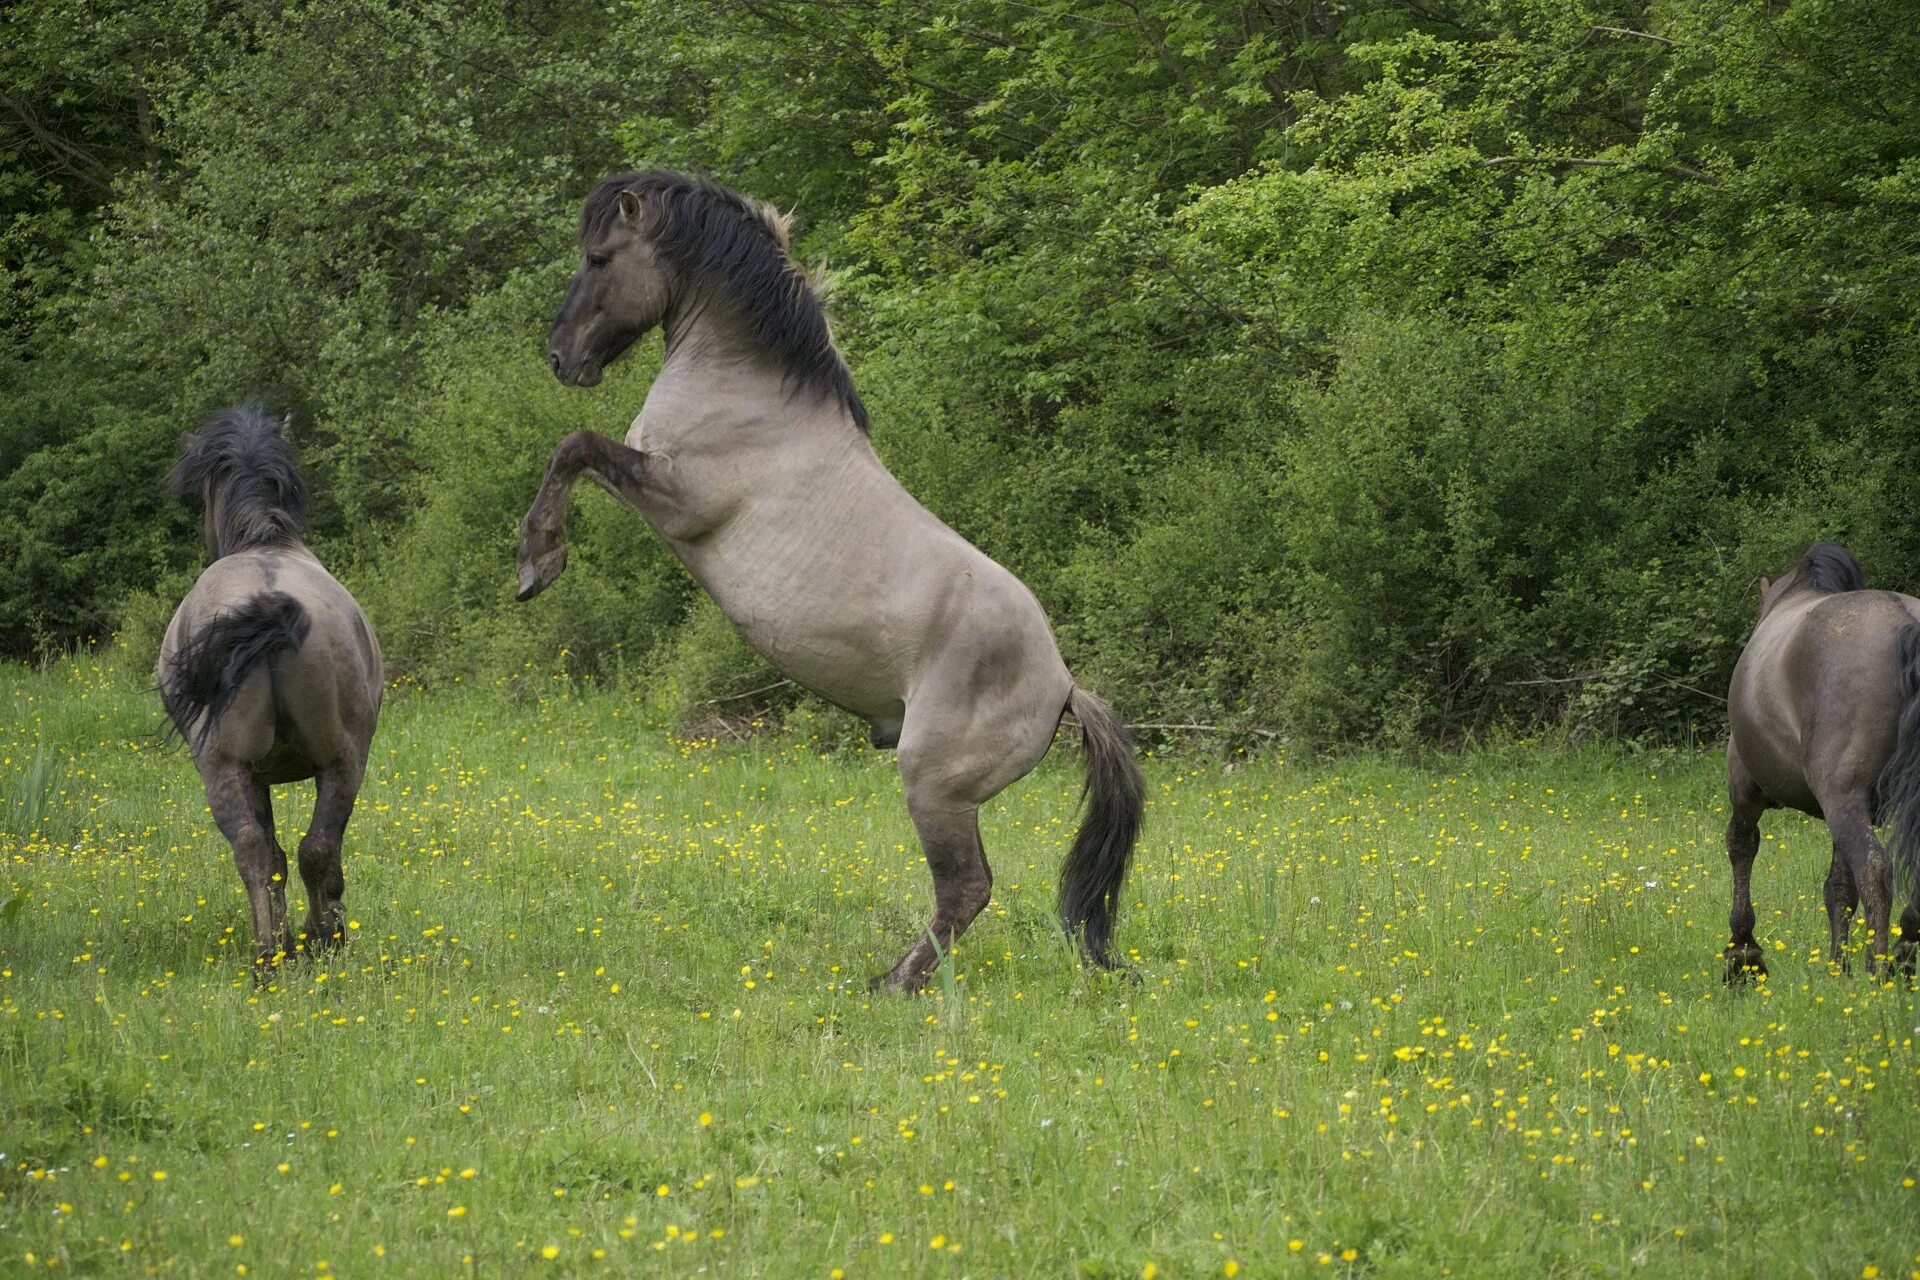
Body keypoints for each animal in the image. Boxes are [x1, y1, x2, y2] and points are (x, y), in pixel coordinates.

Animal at [161, 408, 382, 971]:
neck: (264, 541)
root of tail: (268, 602)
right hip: (337, 763)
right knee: (300, 851)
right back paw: (301, 945)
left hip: (237, 767)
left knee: (270, 853)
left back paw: (284, 951)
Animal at [514, 169, 1136, 990]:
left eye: (598, 258)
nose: (561, 357)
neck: (744, 391)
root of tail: (1064, 686)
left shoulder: (680, 500)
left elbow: (575, 446)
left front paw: (537, 562)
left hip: (933, 784)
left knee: (967, 887)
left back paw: (894, 984)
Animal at [1728, 541, 1920, 982]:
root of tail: (1904, 622)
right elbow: (1839, 889)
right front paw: (1837, 966)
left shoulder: (1745, 788)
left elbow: (1741, 847)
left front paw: (1744, 954)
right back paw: (1902, 955)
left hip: (1841, 797)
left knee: (1874, 869)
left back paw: (1880, 969)